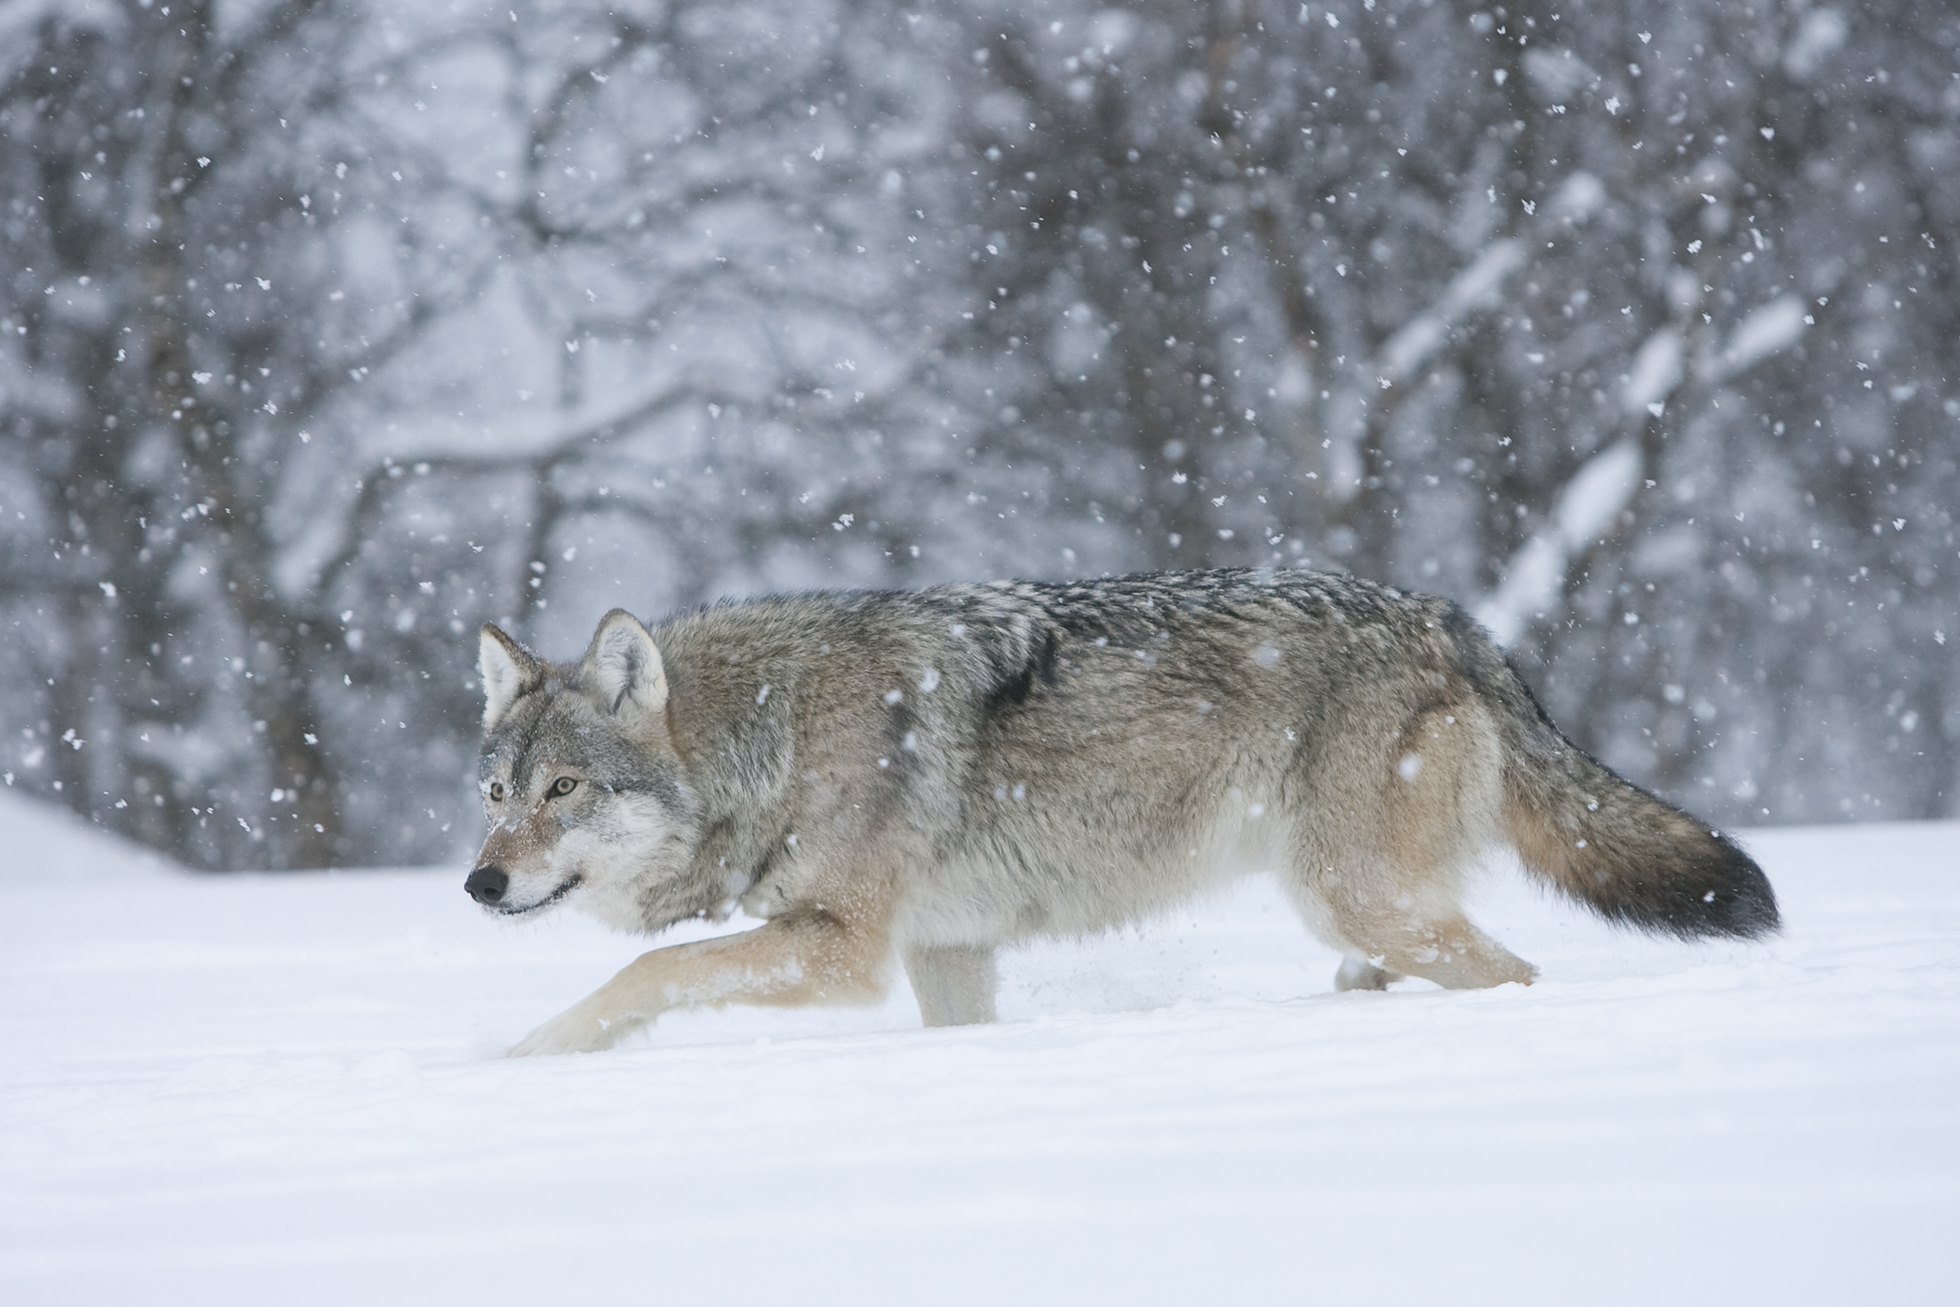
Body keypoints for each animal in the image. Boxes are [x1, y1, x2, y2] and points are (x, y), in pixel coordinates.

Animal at [466, 568, 1787, 1058]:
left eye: (563, 790)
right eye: (493, 793)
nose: (479, 884)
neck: (770, 735)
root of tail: (1454, 622)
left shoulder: (839, 949)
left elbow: (641, 974)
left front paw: (520, 1054)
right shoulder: (948, 949)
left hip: (1353, 893)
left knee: (1512, 973)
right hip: (1355, 903)